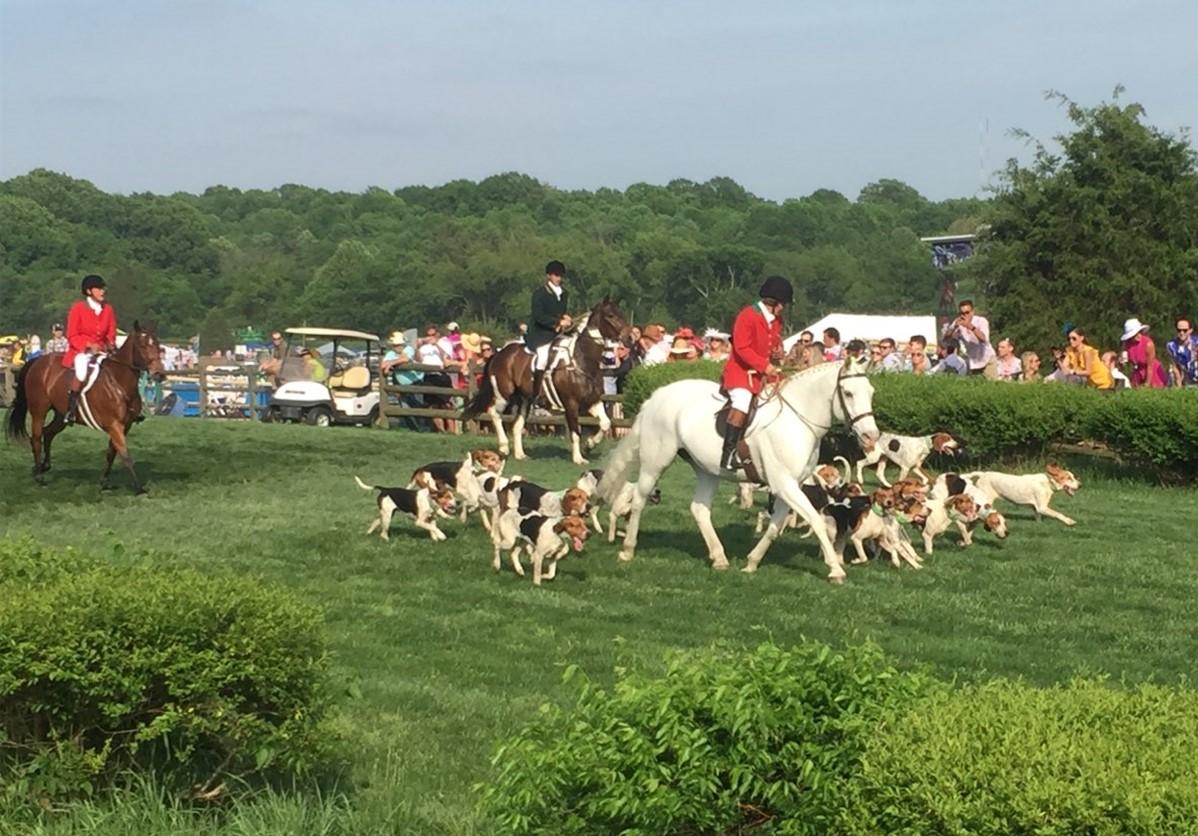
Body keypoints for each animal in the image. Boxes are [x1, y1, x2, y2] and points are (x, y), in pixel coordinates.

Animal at [6, 320, 166, 491]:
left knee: (48, 433)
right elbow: (124, 453)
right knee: (36, 438)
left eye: (158, 345)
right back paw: (39, 476)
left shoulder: (125, 425)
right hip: (38, 411)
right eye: (142, 345)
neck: (119, 382)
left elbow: (112, 453)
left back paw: (43, 466)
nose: (159, 374)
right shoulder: (114, 425)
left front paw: (104, 481)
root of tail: (37, 361)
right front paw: (138, 487)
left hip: (61, 415)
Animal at [457, 295, 632, 462]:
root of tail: (500, 353)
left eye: (621, 313)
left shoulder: (592, 400)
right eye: (610, 315)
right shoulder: (571, 404)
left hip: (525, 399)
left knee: (517, 425)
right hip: (503, 394)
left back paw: (520, 454)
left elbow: (606, 423)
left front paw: (589, 445)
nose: (629, 338)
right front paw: (578, 458)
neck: (582, 360)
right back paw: (504, 448)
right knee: (494, 413)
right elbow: (575, 432)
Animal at [596, 356, 881, 579]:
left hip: (707, 470)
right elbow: (815, 520)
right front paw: (835, 569)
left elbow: (775, 526)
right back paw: (628, 549)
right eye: (848, 393)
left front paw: (752, 562)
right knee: (639, 500)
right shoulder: (784, 484)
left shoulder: (791, 486)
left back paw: (719, 557)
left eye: (871, 392)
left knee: (699, 509)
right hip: (656, 461)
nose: (871, 436)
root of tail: (658, 395)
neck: (796, 421)